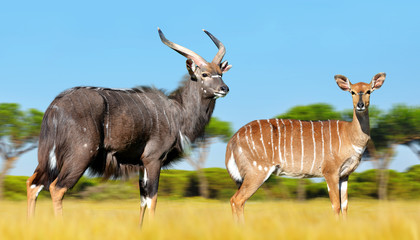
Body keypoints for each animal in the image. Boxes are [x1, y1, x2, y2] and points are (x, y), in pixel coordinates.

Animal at [26, 28, 231, 225]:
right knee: (56, 188)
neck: (177, 111)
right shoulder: (153, 159)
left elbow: (142, 200)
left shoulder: (141, 164)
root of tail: (55, 106)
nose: (224, 88)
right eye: (204, 74)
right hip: (81, 155)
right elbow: (153, 199)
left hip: (48, 159)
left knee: (33, 184)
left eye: (221, 74)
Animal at [225, 72, 386, 222]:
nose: (360, 105)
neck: (350, 135)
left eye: (369, 91)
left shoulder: (345, 175)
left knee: (235, 200)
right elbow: (336, 205)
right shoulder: (330, 172)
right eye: (352, 91)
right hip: (257, 171)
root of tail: (233, 140)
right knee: (237, 200)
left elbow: (345, 206)